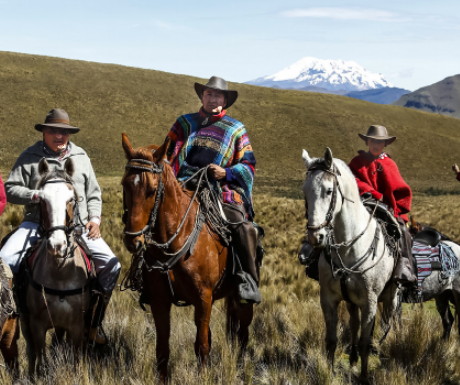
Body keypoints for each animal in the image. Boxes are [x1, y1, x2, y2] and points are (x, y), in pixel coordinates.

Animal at [120, 132, 253, 380]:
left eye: (152, 189)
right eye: (125, 185)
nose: (133, 240)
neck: (175, 239)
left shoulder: (203, 298)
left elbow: (201, 345)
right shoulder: (159, 300)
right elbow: (163, 348)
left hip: (241, 298)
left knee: (243, 333)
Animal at [302, 146, 398, 380]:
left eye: (329, 191)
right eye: (304, 191)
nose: (315, 236)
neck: (349, 248)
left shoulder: (370, 301)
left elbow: (365, 341)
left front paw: (363, 376)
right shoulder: (328, 299)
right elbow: (331, 340)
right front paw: (328, 373)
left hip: (390, 296)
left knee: (386, 322)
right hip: (351, 300)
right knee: (354, 323)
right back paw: (353, 356)